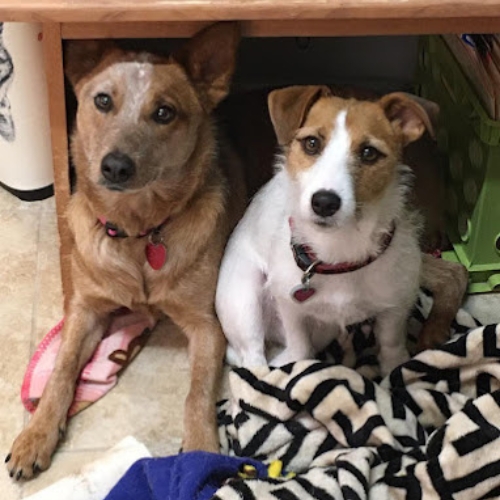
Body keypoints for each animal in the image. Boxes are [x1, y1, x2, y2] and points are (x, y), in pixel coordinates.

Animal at [5, 21, 244, 478]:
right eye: (102, 100)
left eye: (164, 112)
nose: (115, 166)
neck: (139, 233)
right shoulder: (85, 309)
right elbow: (61, 369)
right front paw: (37, 433)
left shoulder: (208, 325)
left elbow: (196, 393)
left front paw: (201, 449)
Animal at [215, 86, 434, 376]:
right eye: (311, 143)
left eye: (369, 153)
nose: (324, 202)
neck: (339, 250)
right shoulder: (290, 305)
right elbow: (300, 345)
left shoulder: (396, 306)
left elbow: (391, 344)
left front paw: (395, 370)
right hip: (243, 302)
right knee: (253, 357)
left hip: (323, 330)